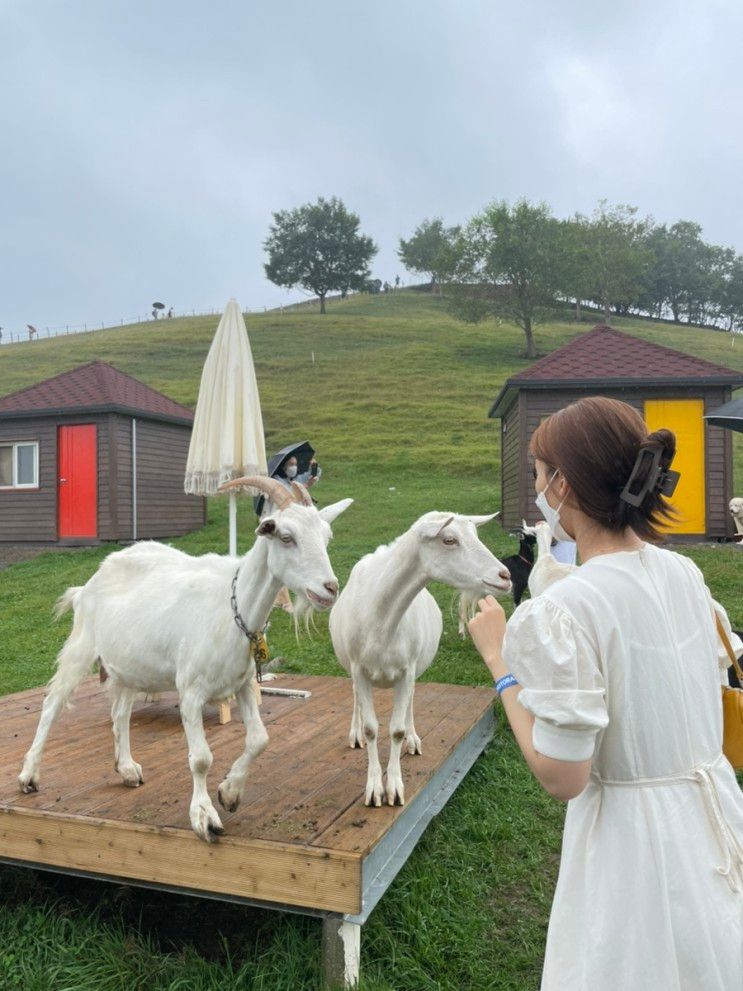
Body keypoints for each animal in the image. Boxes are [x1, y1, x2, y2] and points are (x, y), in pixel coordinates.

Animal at [18, 480, 354, 844]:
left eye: (326, 537)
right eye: (286, 536)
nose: (330, 589)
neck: (232, 607)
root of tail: (89, 582)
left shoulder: (243, 684)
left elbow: (259, 739)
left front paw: (230, 793)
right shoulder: (191, 690)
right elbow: (201, 758)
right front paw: (204, 816)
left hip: (129, 666)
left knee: (120, 713)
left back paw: (127, 769)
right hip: (82, 645)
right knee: (52, 703)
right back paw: (29, 776)